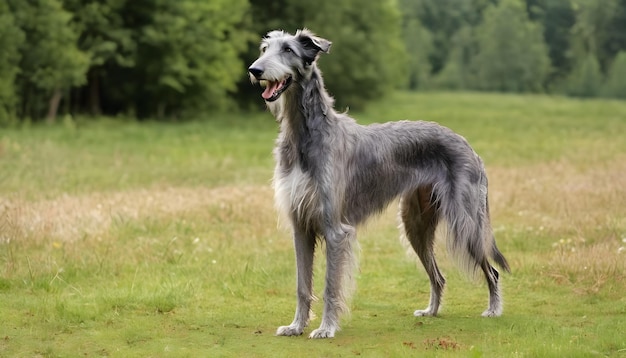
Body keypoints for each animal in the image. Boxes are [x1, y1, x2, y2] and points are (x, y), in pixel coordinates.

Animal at [246, 28, 510, 338]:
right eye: (265, 49)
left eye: (288, 49)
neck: (305, 135)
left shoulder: (335, 229)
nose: (255, 70)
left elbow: (330, 286)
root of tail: (472, 149)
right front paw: (296, 326)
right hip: (415, 223)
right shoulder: (300, 226)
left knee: (492, 270)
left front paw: (326, 328)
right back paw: (431, 311)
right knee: (439, 276)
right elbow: (302, 285)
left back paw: (493, 309)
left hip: (466, 222)